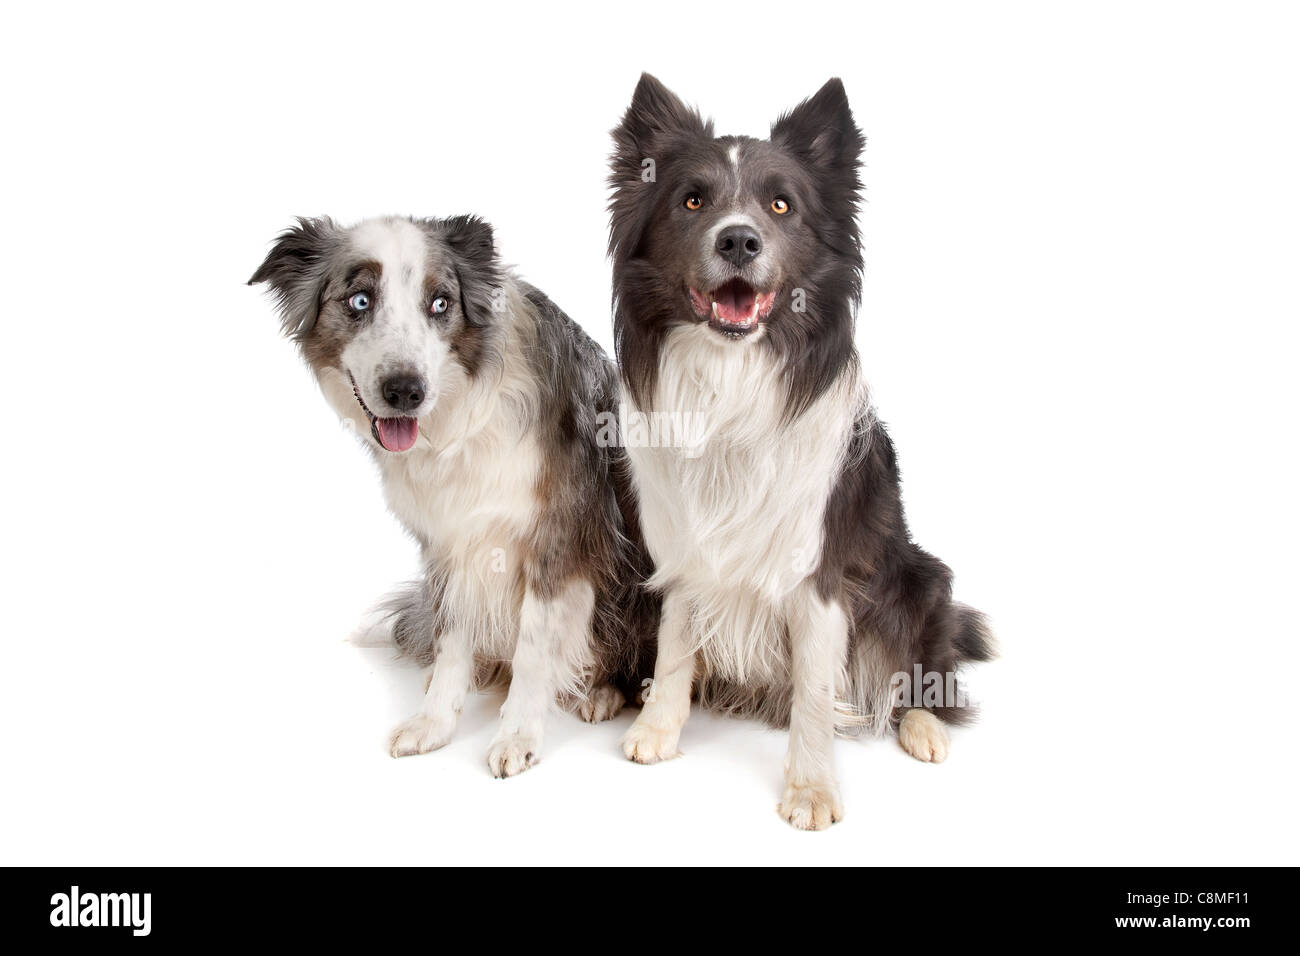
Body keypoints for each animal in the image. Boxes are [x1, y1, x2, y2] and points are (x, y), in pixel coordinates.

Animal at [248, 217, 655, 780]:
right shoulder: (448, 543)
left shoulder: (557, 539)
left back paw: (600, 692)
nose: (405, 390)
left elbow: (533, 652)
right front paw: (434, 721)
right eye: (358, 300)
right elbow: (451, 640)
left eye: (440, 303)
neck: (456, 422)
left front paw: (518, 736)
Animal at [611, 74, 993, 827]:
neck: (732, 379)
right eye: (692, 200)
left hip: (921, 576)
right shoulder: (684, 547)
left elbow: (816, 690)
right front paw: (658, 729)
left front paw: (812, 788)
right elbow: (674, 644)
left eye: (780, 204)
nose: (738, 240)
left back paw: (925, 726)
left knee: (927, 665)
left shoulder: (818, 570)